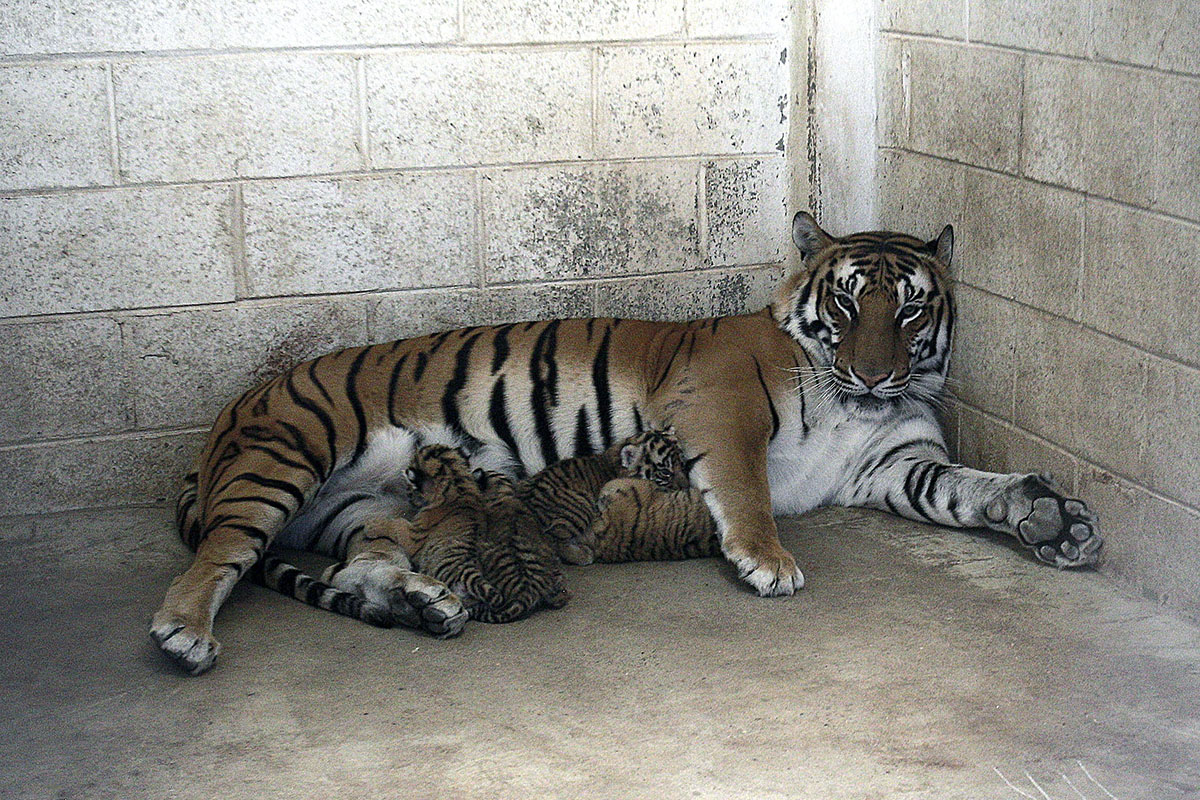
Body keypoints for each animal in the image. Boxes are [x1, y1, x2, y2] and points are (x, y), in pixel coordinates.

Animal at [515, 428, 690, 565]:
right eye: (666, 472)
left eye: (683, 464)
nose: (687, 487)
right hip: (581, 504)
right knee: (553, 540)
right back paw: (583, 555)